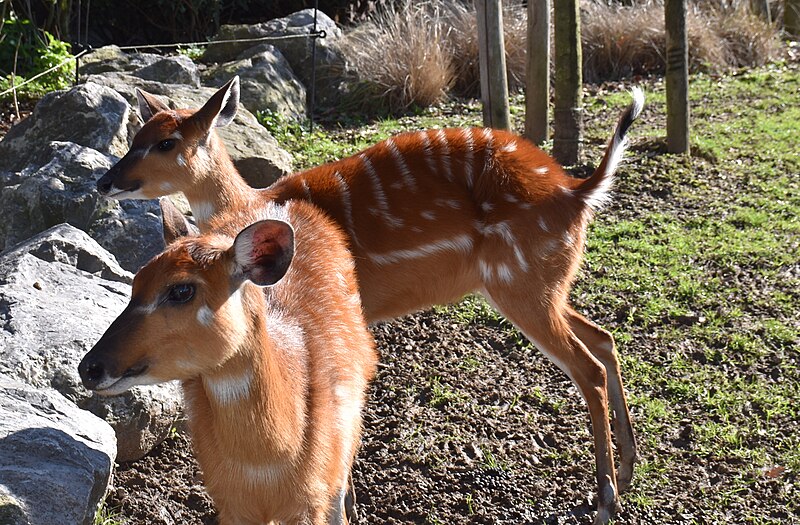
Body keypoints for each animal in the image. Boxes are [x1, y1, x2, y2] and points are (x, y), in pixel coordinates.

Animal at [76, 198, 376, 524]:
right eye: (135, 282)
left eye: (181, 290)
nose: (89, 368)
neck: (266, 465)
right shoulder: (231, 503)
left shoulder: (311, 503)